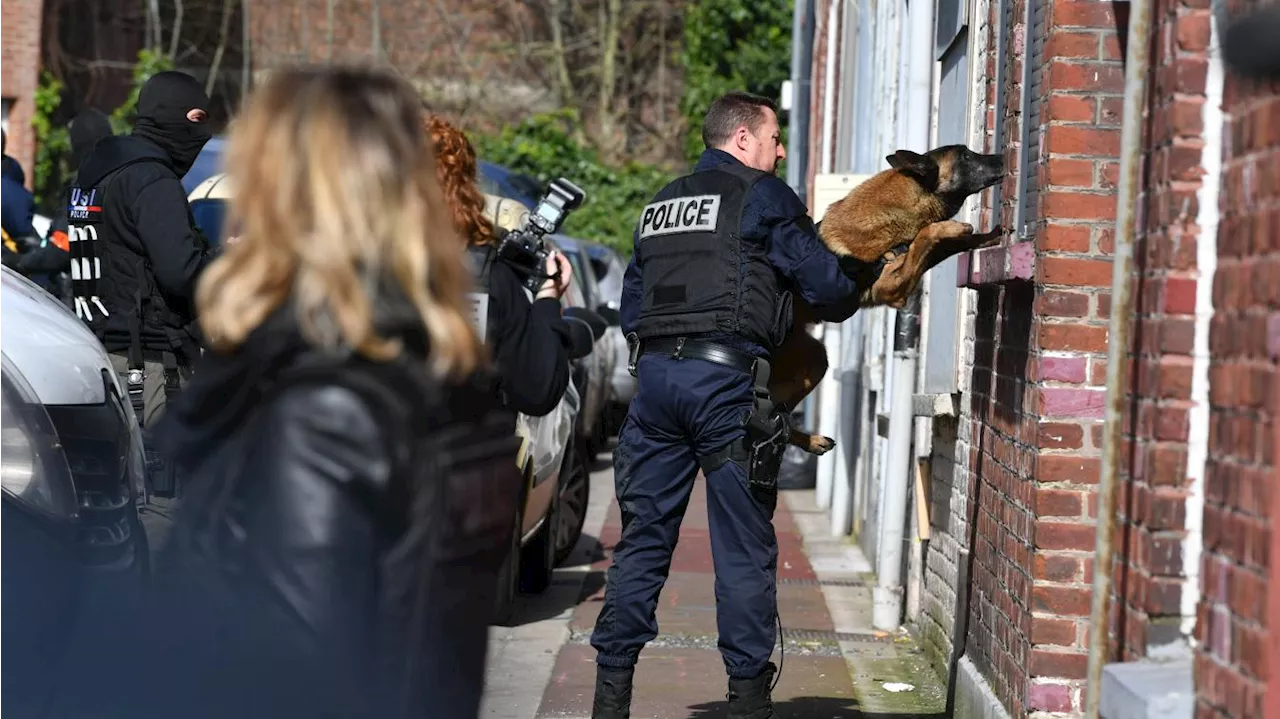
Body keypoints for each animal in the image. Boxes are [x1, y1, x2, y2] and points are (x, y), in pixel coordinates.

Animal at [588, 90, 870, 716]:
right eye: (772, 141)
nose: (781, 153)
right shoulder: (782, 211)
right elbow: (826, 284)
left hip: (653, 448)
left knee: (637, 560)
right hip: (755, 428)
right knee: (748, 563)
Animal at [768, 142, 1008, 450]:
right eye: (966, 156)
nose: (1004, 157)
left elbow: (942, 244)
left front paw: (991, 235)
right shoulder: (891, 287)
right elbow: (926, 237)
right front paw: (952, 228)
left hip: (815, 359)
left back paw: (810, 440)